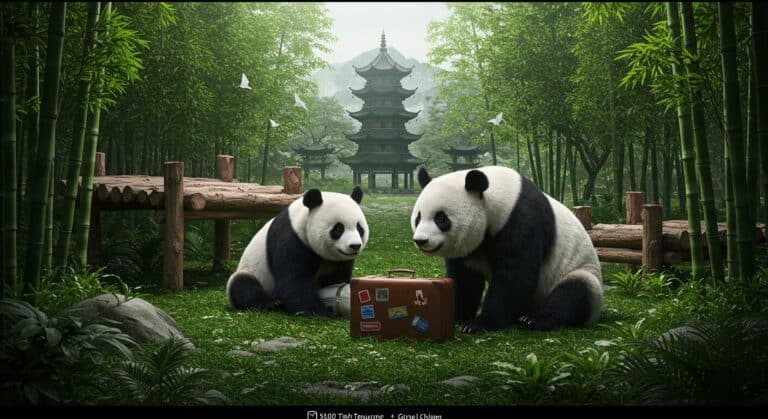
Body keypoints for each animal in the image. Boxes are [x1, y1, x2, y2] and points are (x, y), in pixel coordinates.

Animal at [226, 187, 369, 315]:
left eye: (359, 228)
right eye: (339, 229)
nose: (355, 246)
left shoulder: (339, 260)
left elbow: (336, 277)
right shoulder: (292, 237)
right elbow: (294, 279)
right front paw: (316, 311)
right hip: (253, 271)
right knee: (242, 285)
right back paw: (270, 303)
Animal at [411, 166, 603, 333]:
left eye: (441, 218)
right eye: (418, 218)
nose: (421, 240)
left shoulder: (521, 220)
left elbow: (515, 275)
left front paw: (479, 323)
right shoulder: (469, 247)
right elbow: (465, 279)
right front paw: (457, 315)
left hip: (581, 272)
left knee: (573, 293)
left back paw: (535, 319)